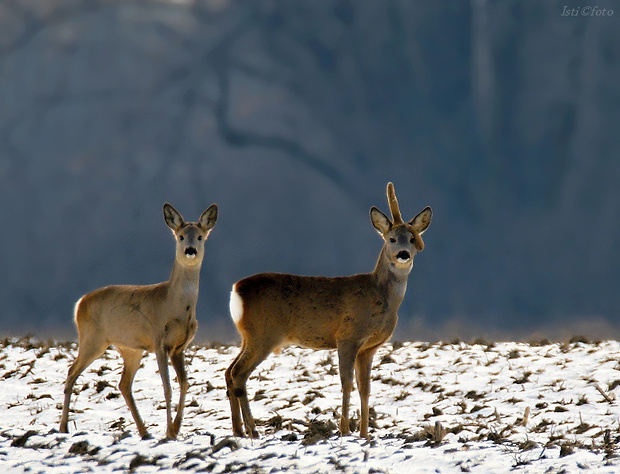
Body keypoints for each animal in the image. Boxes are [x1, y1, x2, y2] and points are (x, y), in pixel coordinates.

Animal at [58, 202, 218, 438]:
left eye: (200, 236)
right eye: (180, 236)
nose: (190, 250)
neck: (174, 306)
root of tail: (80, 303)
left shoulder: (179, 347)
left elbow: (184, 383)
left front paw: (176, 428)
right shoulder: (159, 341)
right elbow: (167, 387)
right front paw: (169, 431)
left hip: (130, 349)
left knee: (124, 384)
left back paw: (144, 431)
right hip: (92, 339)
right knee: (71, 371)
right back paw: (63, 427)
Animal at [225, 183, 434, 438]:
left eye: (412, 239)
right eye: (392, 238)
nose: (403, 254)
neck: (381, 296)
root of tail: (236, 289)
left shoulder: (369, 348)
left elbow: (365, 388)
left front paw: (365, 433)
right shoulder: (348, 336)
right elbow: (346, 383)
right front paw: (345, 430)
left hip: (248, 336)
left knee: (229, 371)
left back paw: (238, 430)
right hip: (265, 333)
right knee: (239, 373)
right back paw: (252, 430)